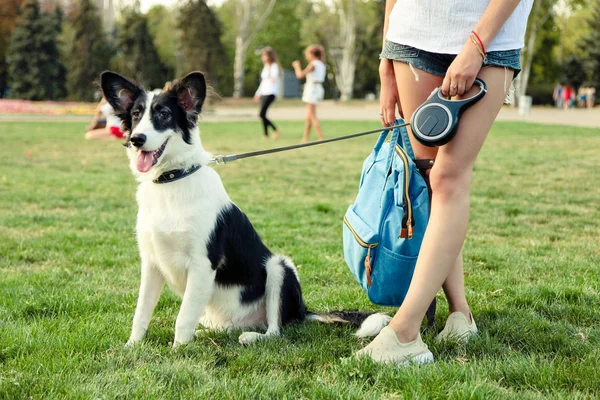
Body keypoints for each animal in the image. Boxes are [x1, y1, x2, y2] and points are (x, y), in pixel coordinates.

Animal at [99, 69, 390, 346]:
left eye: (164, 114)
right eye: (136, 114)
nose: (137, 139)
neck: (172, 180)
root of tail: (302, 311)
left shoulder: (203, 263)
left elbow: (182, 318)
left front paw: (178, 352)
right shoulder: (151, 264)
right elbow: (141, 313)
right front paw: (132, 347)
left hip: (279, 267)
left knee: (274, 330)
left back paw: (251, 338)